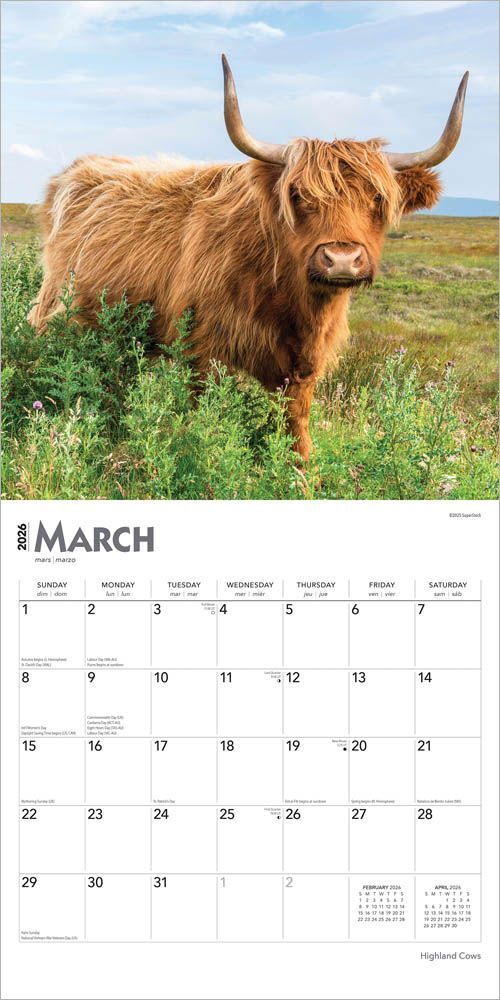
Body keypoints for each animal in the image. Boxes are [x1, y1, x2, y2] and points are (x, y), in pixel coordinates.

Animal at [28, 57, 468, 460]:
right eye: (298, 195)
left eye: (377, 197)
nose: (341, 259)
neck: (286, 296)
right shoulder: (201, 348)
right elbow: (203, 416)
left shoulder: (304, 365)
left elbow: (295, 425)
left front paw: (302, 475)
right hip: (59, 314)